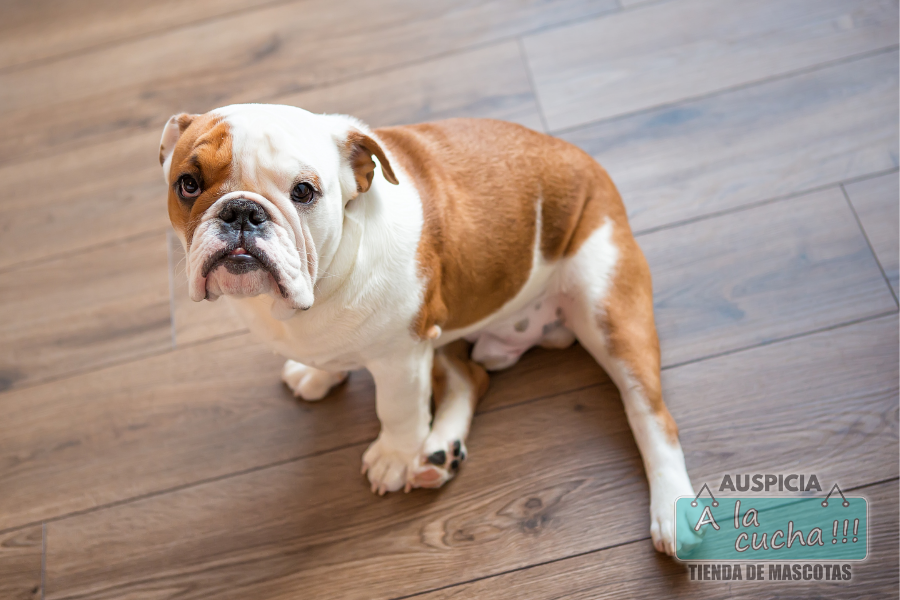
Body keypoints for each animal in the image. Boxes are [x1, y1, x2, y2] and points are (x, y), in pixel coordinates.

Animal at [160, 104, 697, 555]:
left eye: (303, 192)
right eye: (188, 184)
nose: (242, 211)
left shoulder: (402, 356)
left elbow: (397, 409)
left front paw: (395, 456)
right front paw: (320, 373)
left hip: (608, 309)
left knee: (649, 413)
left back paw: (673, 515)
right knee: (471, 378)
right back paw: (440, 453)